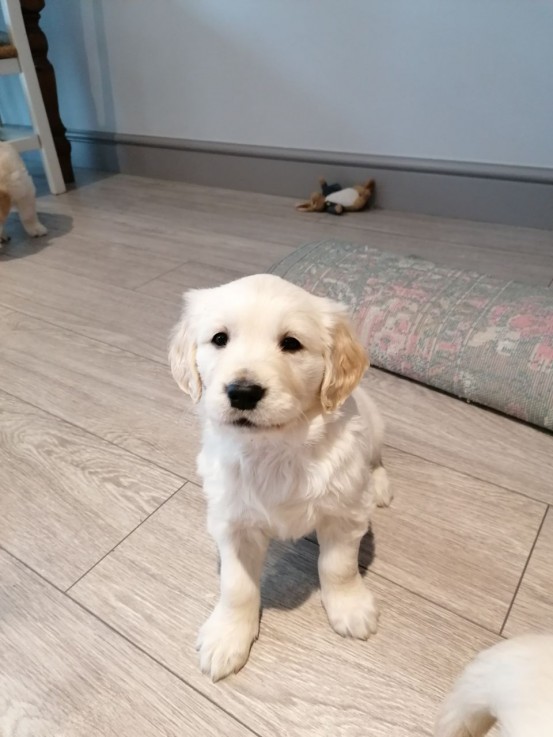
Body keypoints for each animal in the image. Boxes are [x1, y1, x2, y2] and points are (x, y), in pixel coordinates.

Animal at [170, 274, 390, 680]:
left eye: (291, 343)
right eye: (220, 339)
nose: (242, 392)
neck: (276, 447)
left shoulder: (344, 511)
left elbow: (338, 567)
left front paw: (350, 608)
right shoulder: (232, 522)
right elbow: (236, 585)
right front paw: (227, 636)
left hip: (375, 424)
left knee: (376, 458)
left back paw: (380, 485)